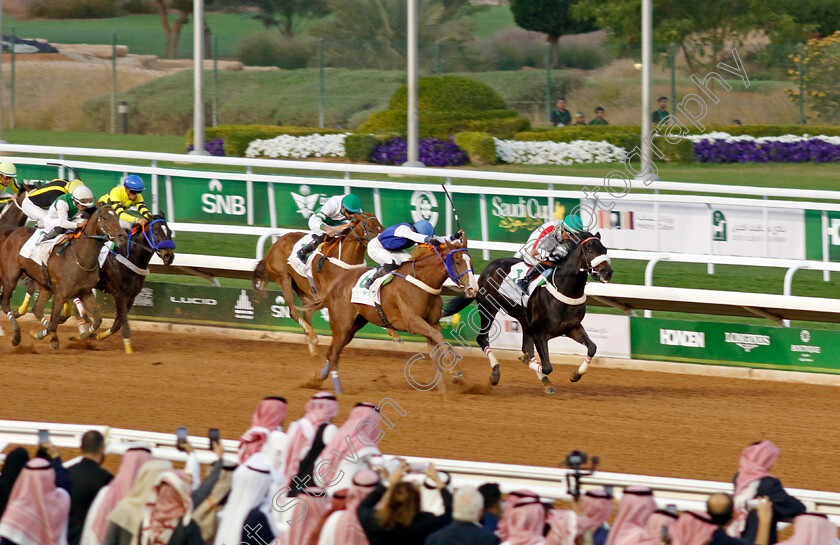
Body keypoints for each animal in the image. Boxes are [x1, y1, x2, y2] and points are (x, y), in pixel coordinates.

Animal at [0, 204, 126, 348]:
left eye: (117, 217)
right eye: (105, 218)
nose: (122, 236)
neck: (80, 257)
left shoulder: (86, 292)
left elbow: (98, 320)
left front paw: (83, 335)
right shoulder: (60, 293)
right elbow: (53, 321)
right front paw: (50, 337)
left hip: (44, 285)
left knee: (37, 309)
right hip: (11, 276)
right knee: (5, 303)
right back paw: (16, 335)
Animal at [94, 216, 175, 352]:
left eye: (170, 232)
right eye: (156, 232)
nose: (169, 256)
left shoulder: (131, 296)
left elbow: (118, 323)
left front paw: (99, 336)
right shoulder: (119, 294)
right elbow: (124, 323)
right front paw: (129, 350)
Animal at [253, 212, 400, 356]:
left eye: (382, 227)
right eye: (369, 229)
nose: (386, 248)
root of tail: (276, 244)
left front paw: (393, 333)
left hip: (304, 289)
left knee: (307, 311)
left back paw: (312, 347)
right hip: (284, 279)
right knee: (294, 311)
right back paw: (312, 336)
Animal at [304, 236, 476, 394]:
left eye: (471, 262)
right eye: (458, 262)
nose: (472, 289)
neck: (422, 281)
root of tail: (334, 285)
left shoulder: (432, 322)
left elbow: (436, 346)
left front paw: (441, 388)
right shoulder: (412, 322)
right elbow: (438, 337)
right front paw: (455, 371)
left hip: (354, 326)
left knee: (334, 351)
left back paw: (320, 378)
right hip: (342, 325)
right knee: (333, 353)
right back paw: (338, 389)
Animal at [442, 232, 612, 394]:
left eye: (604, 249)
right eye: (589, 249)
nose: (607, 272)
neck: (565, 288)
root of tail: (487, 267)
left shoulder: (572, 327)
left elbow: (592, 348)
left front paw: (576, 374)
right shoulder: (539, 333)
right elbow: (547, 366)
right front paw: (527, 362)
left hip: (523, 319)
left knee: (525, 348)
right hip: (488, 308)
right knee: (482, 339)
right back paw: (495, 373)